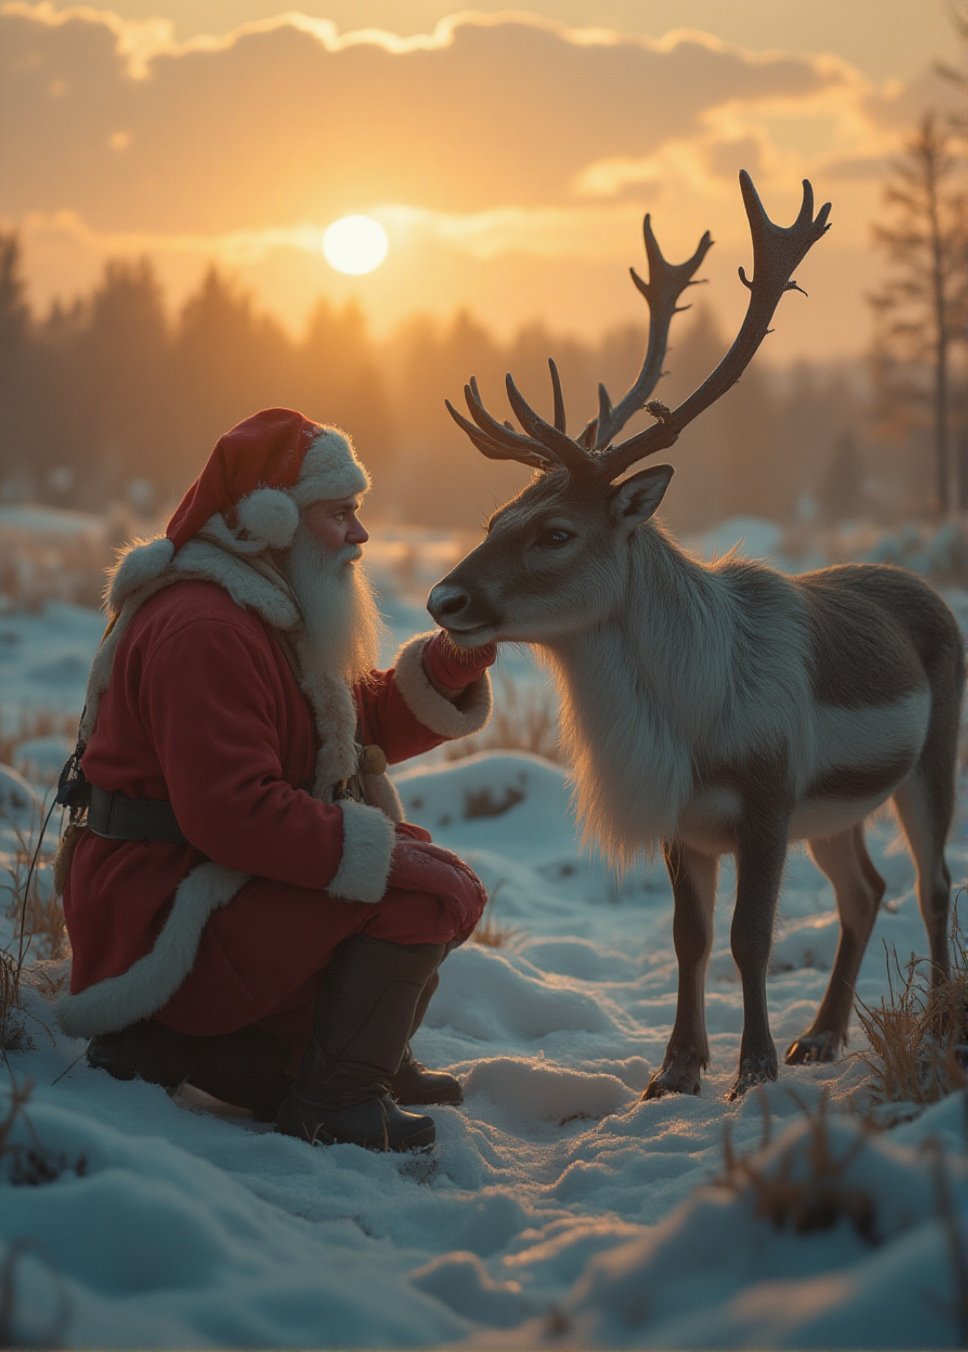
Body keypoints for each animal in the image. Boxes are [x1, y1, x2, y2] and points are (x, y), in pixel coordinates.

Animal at [427, 171, 965, 1102]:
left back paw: (928, 1029)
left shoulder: (769, 794)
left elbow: (749, 936)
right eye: (497, 517)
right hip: (838, 809)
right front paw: (676, 1068)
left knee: (930, 886)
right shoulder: (684, 816)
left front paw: (751, 1068)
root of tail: (926, 588)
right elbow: (691, 937)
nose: (444, 597)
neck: (686, 717)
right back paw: (822, 1035)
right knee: (865, 891)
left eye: (557, 532)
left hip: (929, 762)